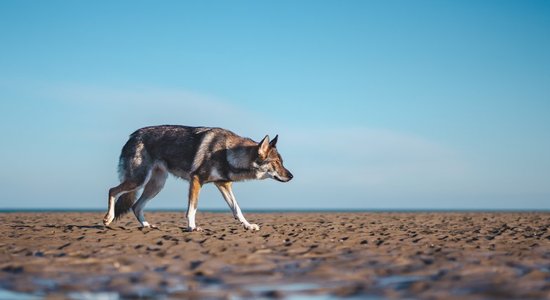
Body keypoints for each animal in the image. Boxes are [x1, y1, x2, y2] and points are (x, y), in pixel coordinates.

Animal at [103, 125, 294, 231]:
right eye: (277, 162)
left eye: (282, 162)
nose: (291, 176)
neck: (227, 153)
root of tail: (133, 136)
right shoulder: (196, 180)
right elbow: (192, 209)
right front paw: (192, 227)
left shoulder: (224, 184)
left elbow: (237, 209)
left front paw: (247, 225)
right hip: (139, 180)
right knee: (112, 191)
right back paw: (108, 218)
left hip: (156, 185)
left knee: (136, 206)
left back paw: (147, 225)